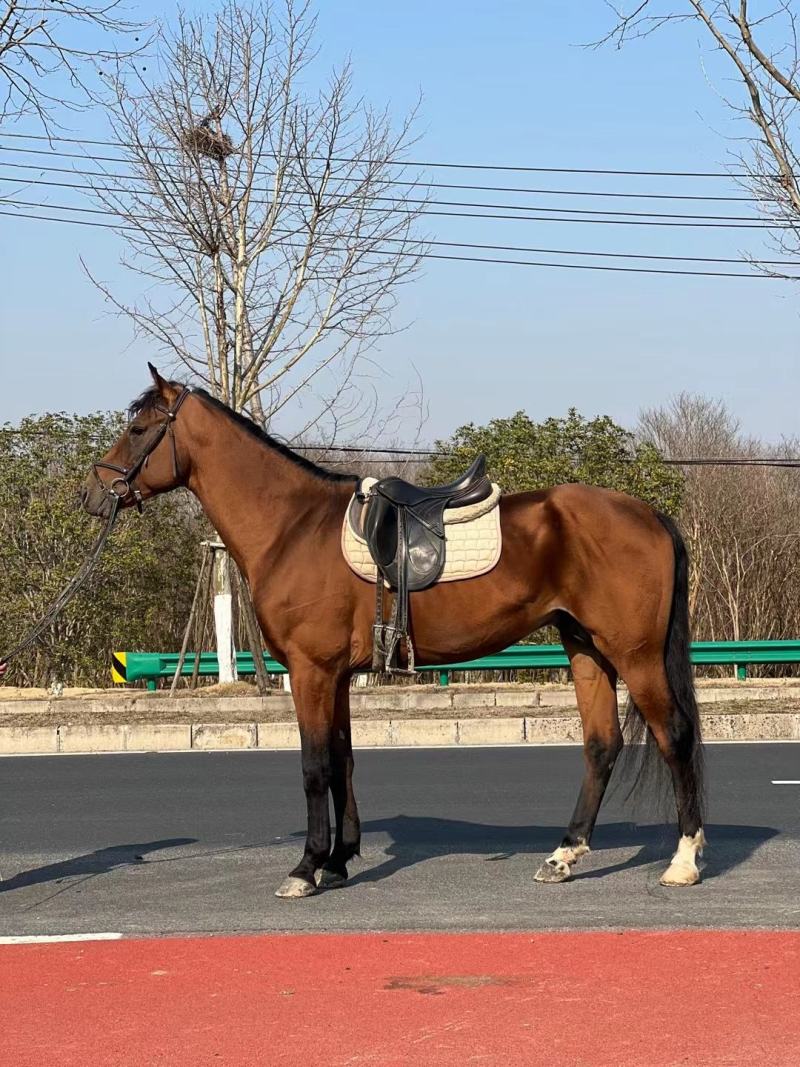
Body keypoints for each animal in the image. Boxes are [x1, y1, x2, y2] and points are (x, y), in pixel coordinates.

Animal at [81, 365, 705, 898]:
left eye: (139, 429)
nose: (92, 496)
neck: (293, 527)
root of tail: (649, 515)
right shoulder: (334, 676)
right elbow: (342, 759)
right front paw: (338, 861)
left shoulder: (311, 671)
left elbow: (314, 766)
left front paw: (306, 868)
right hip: (584, 648)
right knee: (602, 745)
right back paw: (563, 856)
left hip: (635, 654)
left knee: (674, 735)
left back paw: (683, 860)